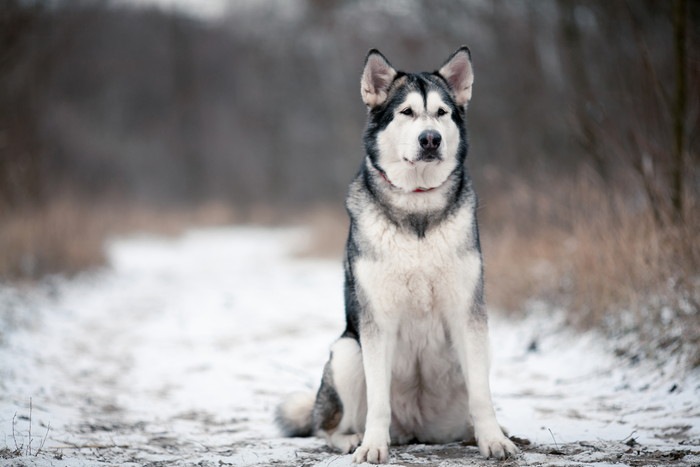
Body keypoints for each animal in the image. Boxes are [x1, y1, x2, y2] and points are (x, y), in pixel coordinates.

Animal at [276, 46, 516, 464]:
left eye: (442, 112)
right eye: (406, 112)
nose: (430, 139)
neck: (417, 207)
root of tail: (415, 430)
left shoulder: (468, 313)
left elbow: (482, 396)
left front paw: (494, 440)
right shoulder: (377, 321)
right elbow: (378, 401)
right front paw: (373, 445)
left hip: (478, 351)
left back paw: (476, 433)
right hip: (346, 351)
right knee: (327, 427)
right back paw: (351, 438)